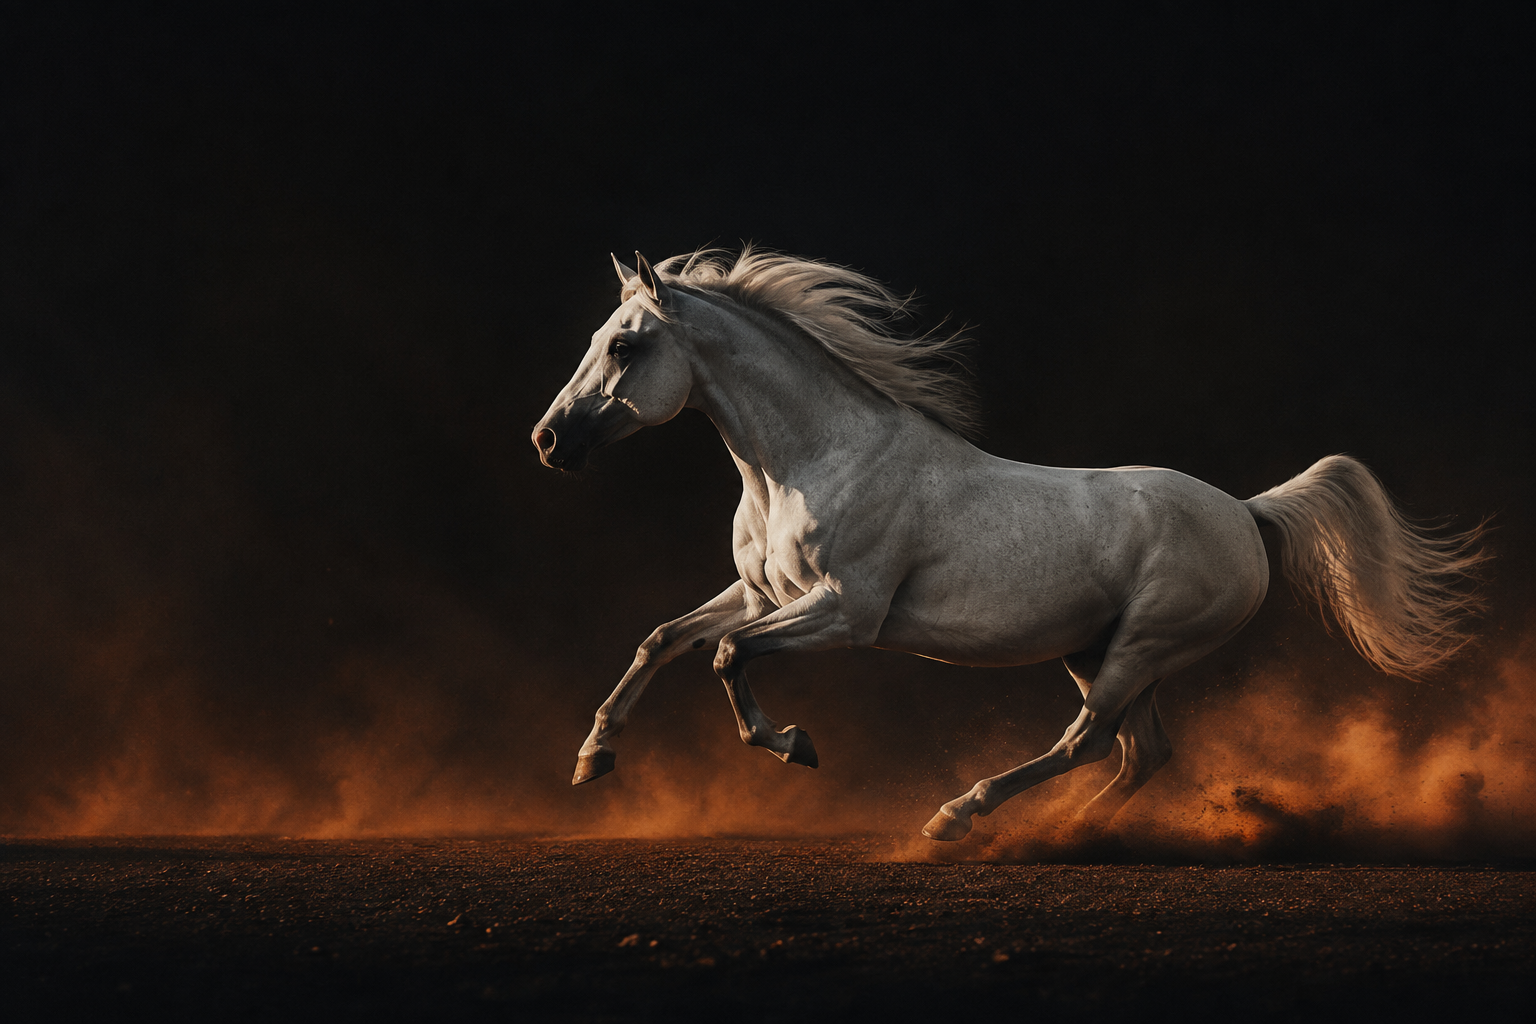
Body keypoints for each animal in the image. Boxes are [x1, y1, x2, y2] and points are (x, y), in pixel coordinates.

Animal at [532, 247, 1485, 841]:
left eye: (626, 345)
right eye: (599, 338)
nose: (548, 441)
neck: (810, 461)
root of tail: (1247, 512)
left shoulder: (845, 613)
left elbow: (729, 658)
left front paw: (795, 744)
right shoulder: (764, 594)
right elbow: (665, 638)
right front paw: (591, 759)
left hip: (1144, 646)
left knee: (1087, 741)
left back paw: (960, 818)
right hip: (1099, 649)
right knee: (1140, 752)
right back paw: (1066, 833)